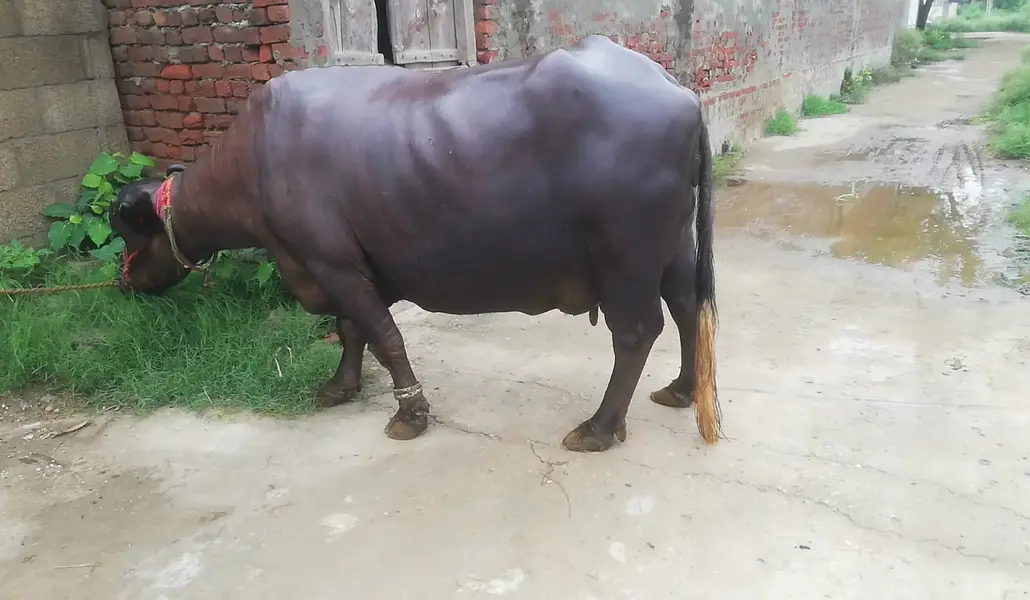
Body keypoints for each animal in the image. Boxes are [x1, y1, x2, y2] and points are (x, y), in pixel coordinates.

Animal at [112, 34, 721, 452]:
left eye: (127, 227)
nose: (126, 282)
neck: (253, 164)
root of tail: (678, 92)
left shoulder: (330, 262)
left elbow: (384, 336)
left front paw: (409, 414)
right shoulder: (349, 268)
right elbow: (351, 330)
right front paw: (339, 387)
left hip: (625, 259)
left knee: (637, 332)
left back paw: (598, 427)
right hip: (675, 246)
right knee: (688, 308)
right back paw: (681, 390)